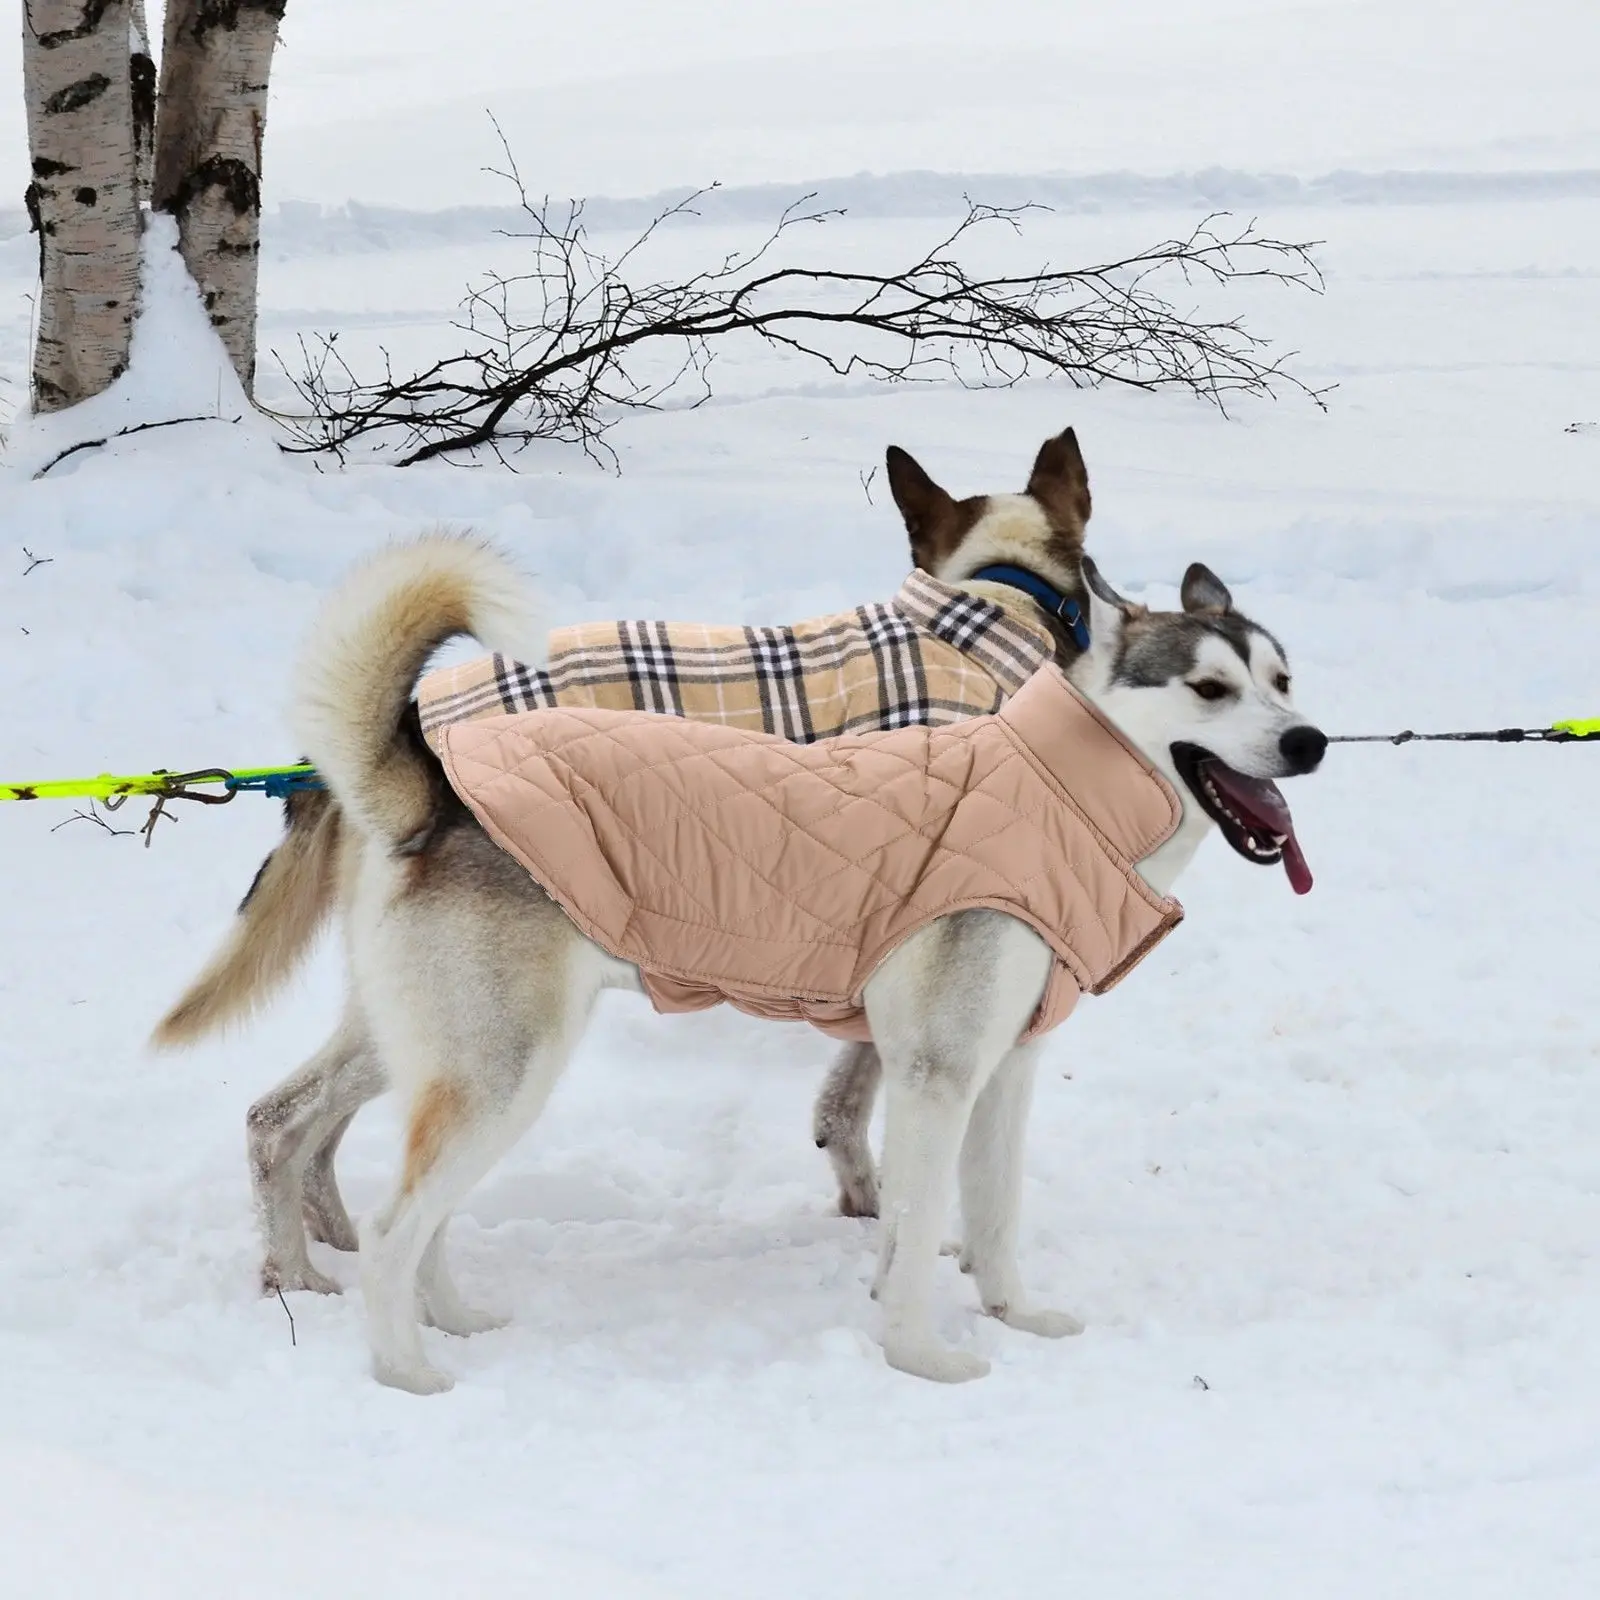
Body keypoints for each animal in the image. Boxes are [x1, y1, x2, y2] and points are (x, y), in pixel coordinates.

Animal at [159, 428, 1100, 1299]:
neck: (989, 608)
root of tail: (390, 747)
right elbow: (860, 1103)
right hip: (478, 1027)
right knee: (311, 1129)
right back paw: (317, 1268)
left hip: (411, 1018)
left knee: (290, 1122)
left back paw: (320, 1254)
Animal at [162, 531, 1324, 1395]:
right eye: (1209, 688)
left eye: (1281, 677)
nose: (1309, 740)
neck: (1060, 791)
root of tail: (435, 785)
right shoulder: (935, 1076)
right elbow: (916, 1232)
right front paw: (923, 1357)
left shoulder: (1003, 1073)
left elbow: (989, 1219)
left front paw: (1016, 1314)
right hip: (504, 1069)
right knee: (397, 1220)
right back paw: (407, 1369)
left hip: (435, 1055)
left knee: (341, 1157)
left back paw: (446, 1314)